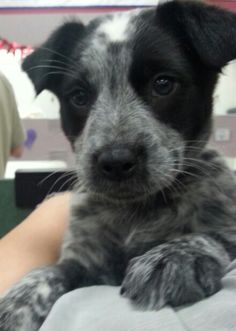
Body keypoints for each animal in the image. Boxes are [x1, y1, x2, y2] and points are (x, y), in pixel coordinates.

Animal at [0, 1, 236, 330]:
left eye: (163, 83)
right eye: (78, 96)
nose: (115, 161)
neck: (136, 211)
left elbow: (215, 235)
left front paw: (172, 257)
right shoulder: (87, 261)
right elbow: (52, 270)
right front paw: (17, 302)